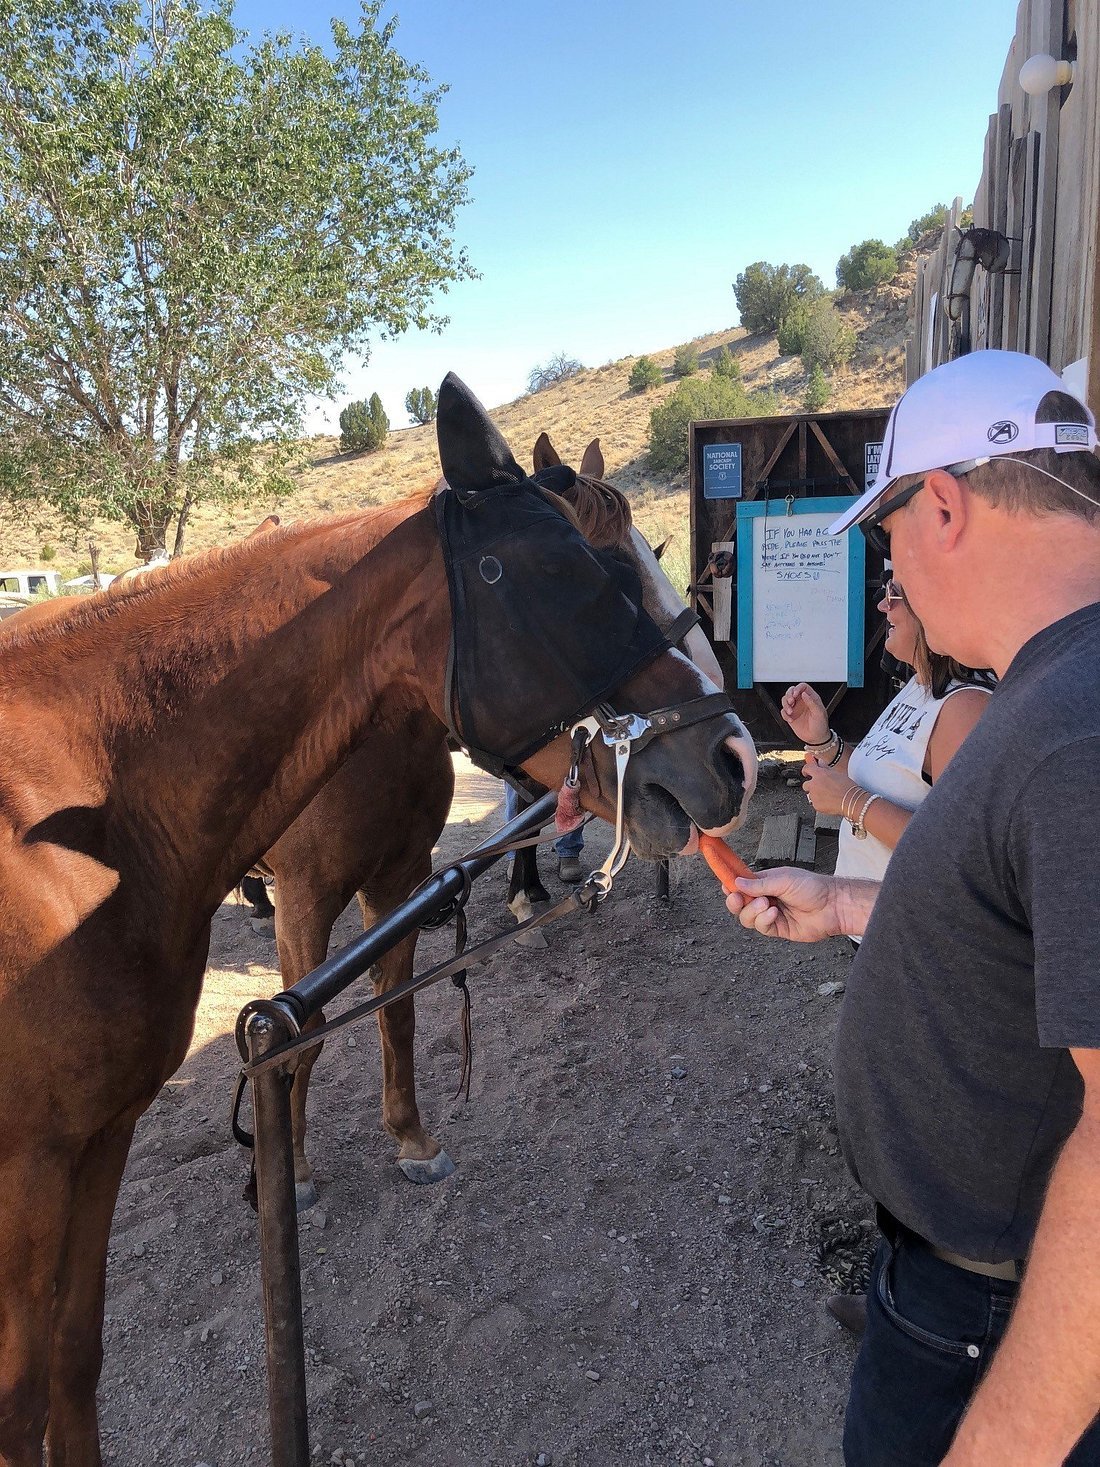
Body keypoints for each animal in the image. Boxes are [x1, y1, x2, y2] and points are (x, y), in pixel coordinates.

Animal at [0, 373, 755, 1462]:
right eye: (579, 571)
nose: (733, 753)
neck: (80, 817)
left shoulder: (394, 888)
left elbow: (396, 1012)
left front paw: (410, 1138)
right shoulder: (309, 910)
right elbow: (303, 1042)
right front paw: (295, 1172)